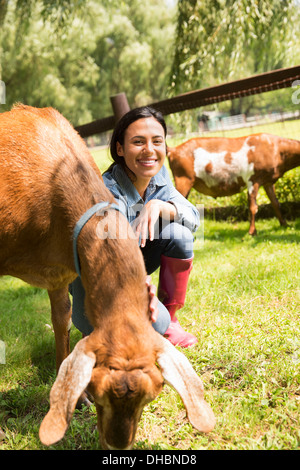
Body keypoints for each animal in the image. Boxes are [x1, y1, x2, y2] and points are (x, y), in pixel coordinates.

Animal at [168, 133, 298, 235]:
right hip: (183, 179)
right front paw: (252, 232)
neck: (276, 148)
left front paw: (284, 224)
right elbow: (253, 207)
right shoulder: (253, 180)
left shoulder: (268, 182)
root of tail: (173, 150)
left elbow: (275, 203)